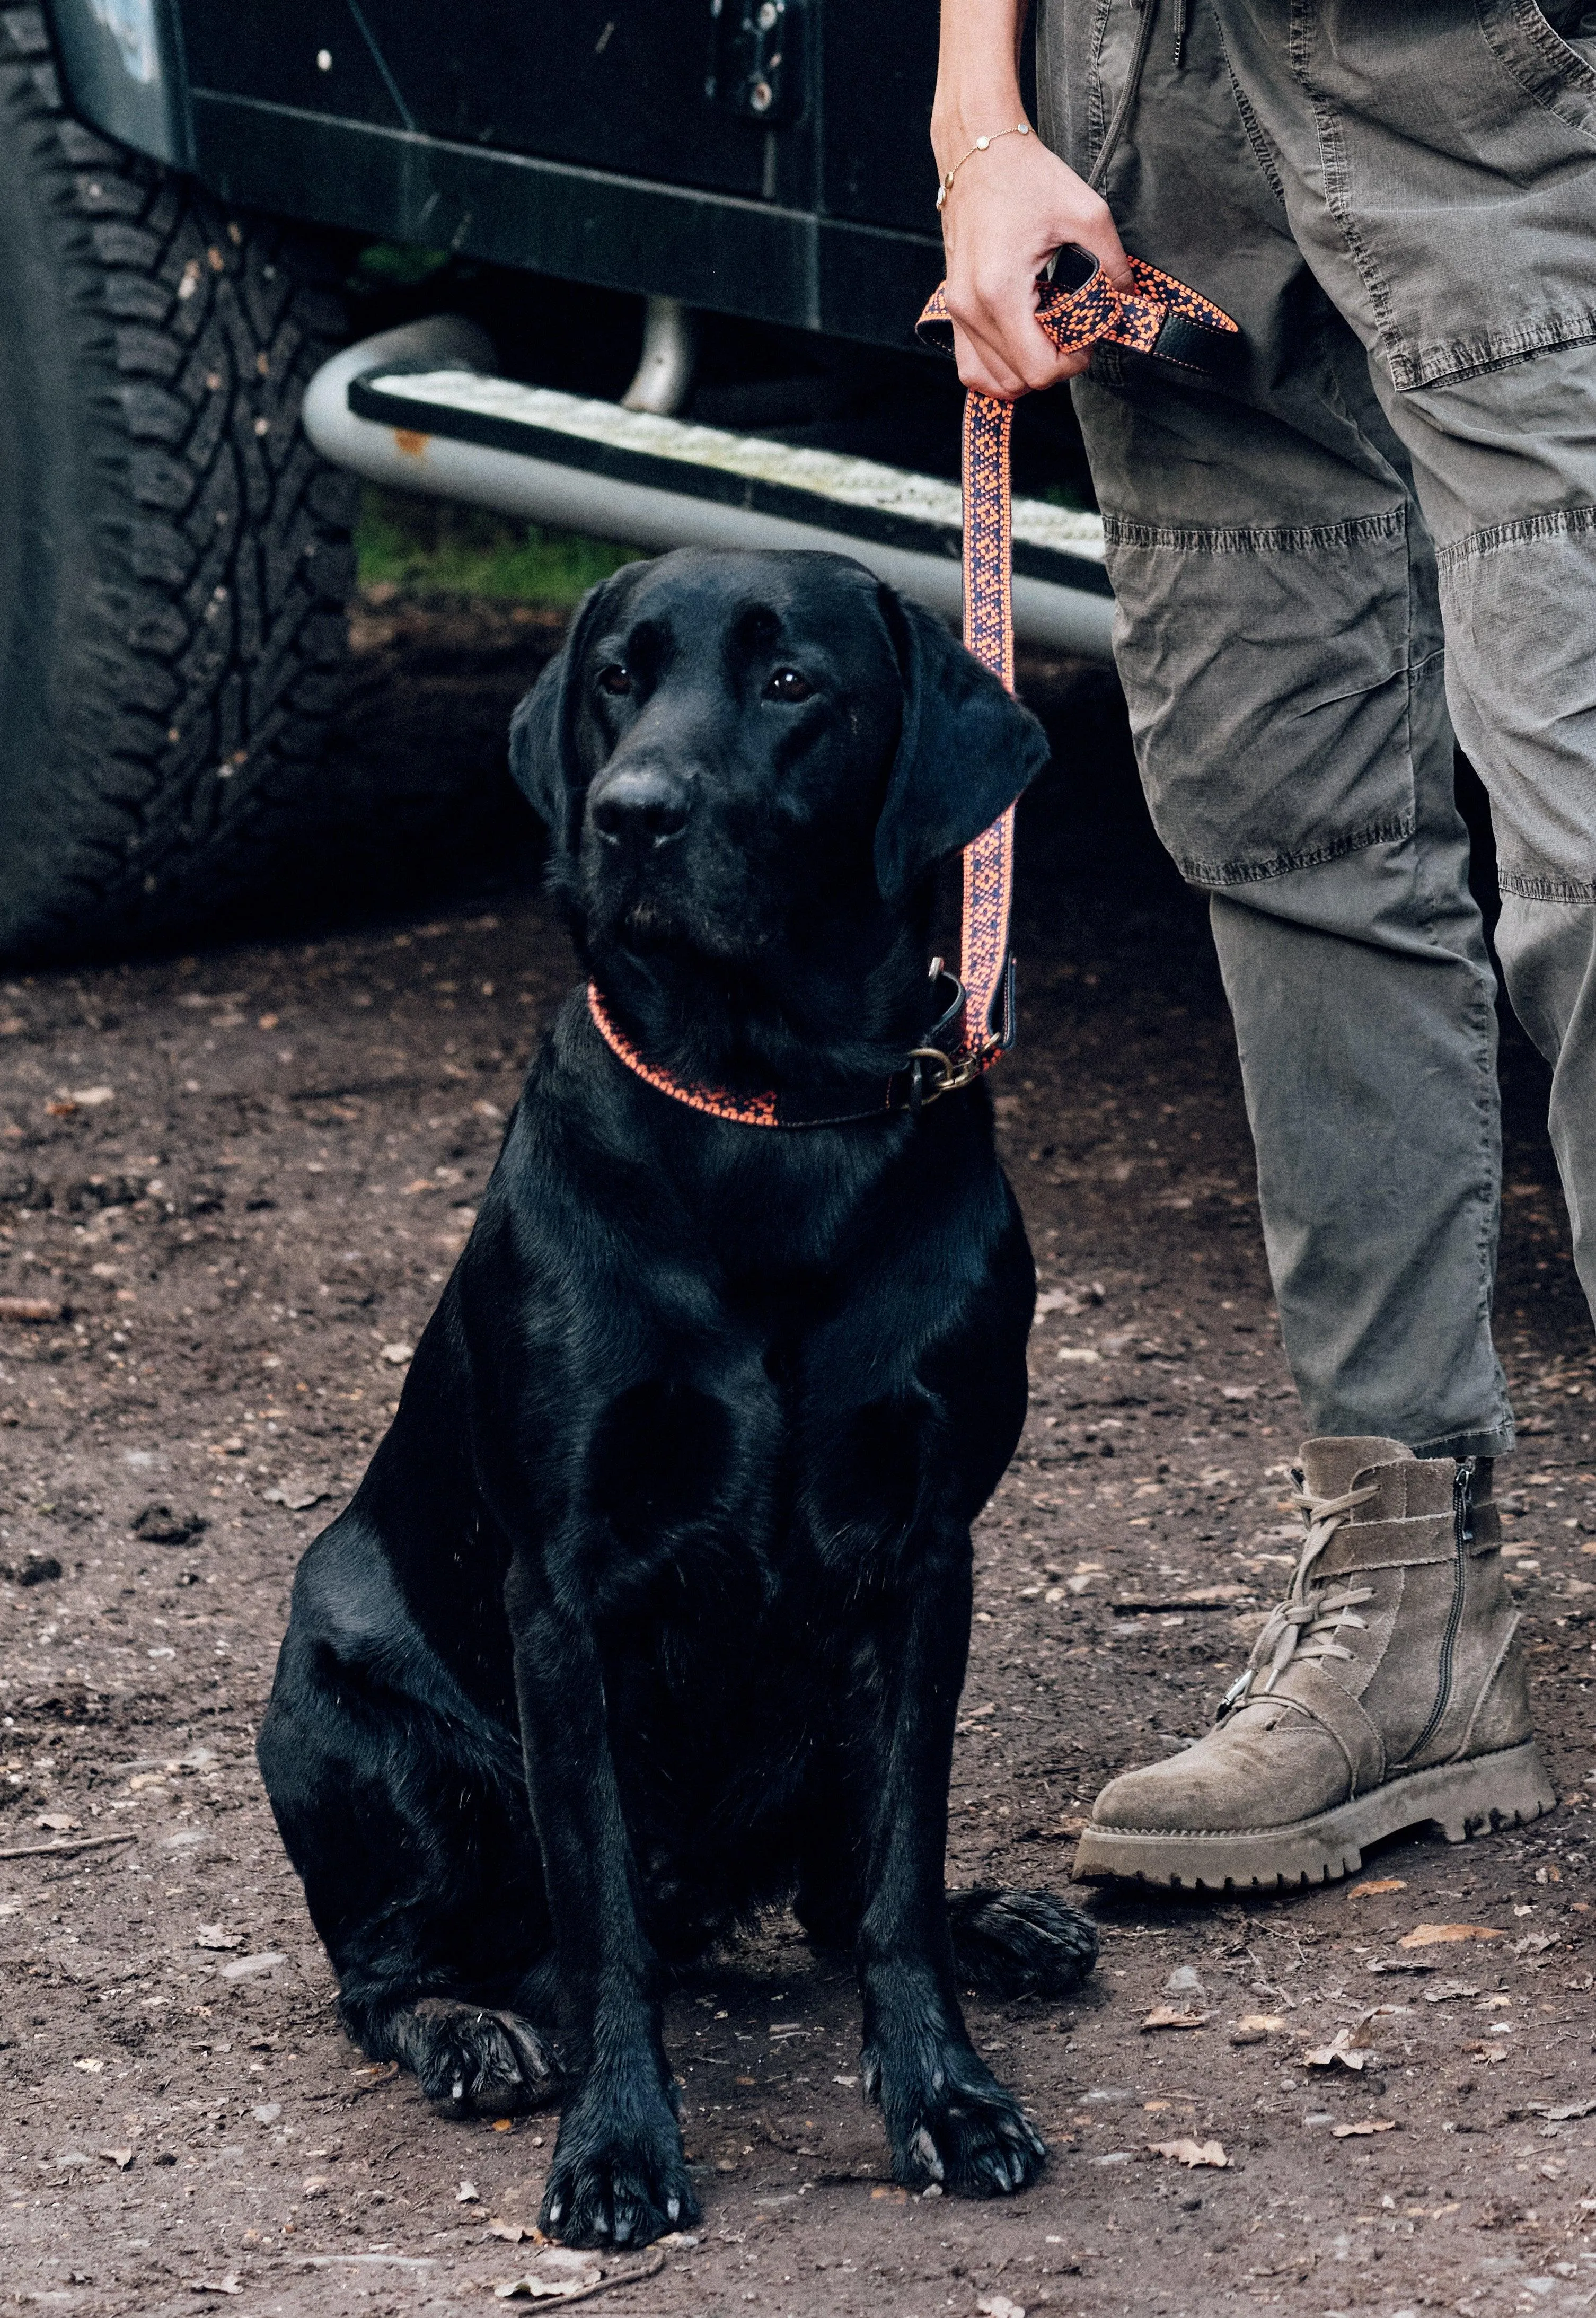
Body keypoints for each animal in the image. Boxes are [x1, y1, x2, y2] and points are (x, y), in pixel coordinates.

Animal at [258, 547, 1093, 2244]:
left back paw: (1004, 1921)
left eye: (791, 684)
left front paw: (947, 2096)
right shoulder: (568, 1591)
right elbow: (606, 1934)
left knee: (843, 1895)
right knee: (388, 1968)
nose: (630, 812)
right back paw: (469, 2030)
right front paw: (619, 2146)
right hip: (348, 1724)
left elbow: (898, 1883)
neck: (764, 1108)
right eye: (615, 681)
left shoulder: (923, 1562)